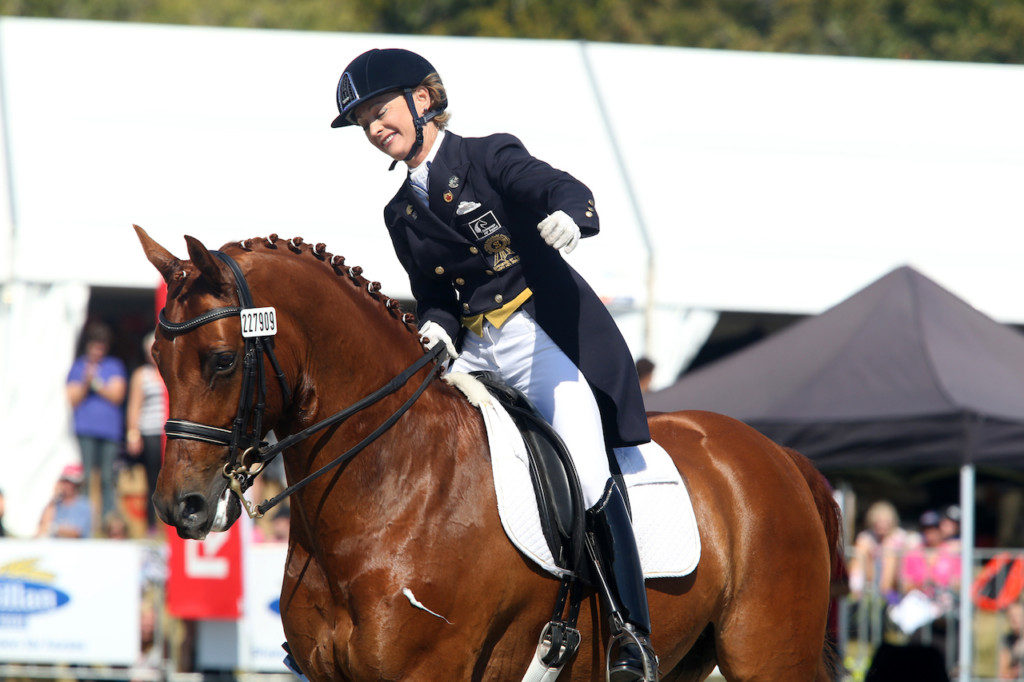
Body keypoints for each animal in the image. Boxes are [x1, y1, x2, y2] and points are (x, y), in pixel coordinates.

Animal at [136, 225, 839, 675]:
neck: (393, 484)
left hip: (768, 656)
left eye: (222, 360)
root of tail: (780, 458)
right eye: (156, 361)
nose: (181, 507)